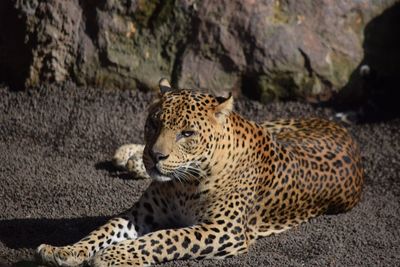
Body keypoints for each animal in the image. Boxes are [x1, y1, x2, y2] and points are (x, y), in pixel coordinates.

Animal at [36, 78, 364, 266]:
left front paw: (113, 256)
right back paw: (128, 156)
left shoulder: (223, 230)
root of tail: (343, 130)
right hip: (271, 124)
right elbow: (103, 229)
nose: (155, 156)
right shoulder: (141, 214)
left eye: (187, 133)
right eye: (153, 123)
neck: (183, 184)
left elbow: (165, 237)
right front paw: (65, 251)